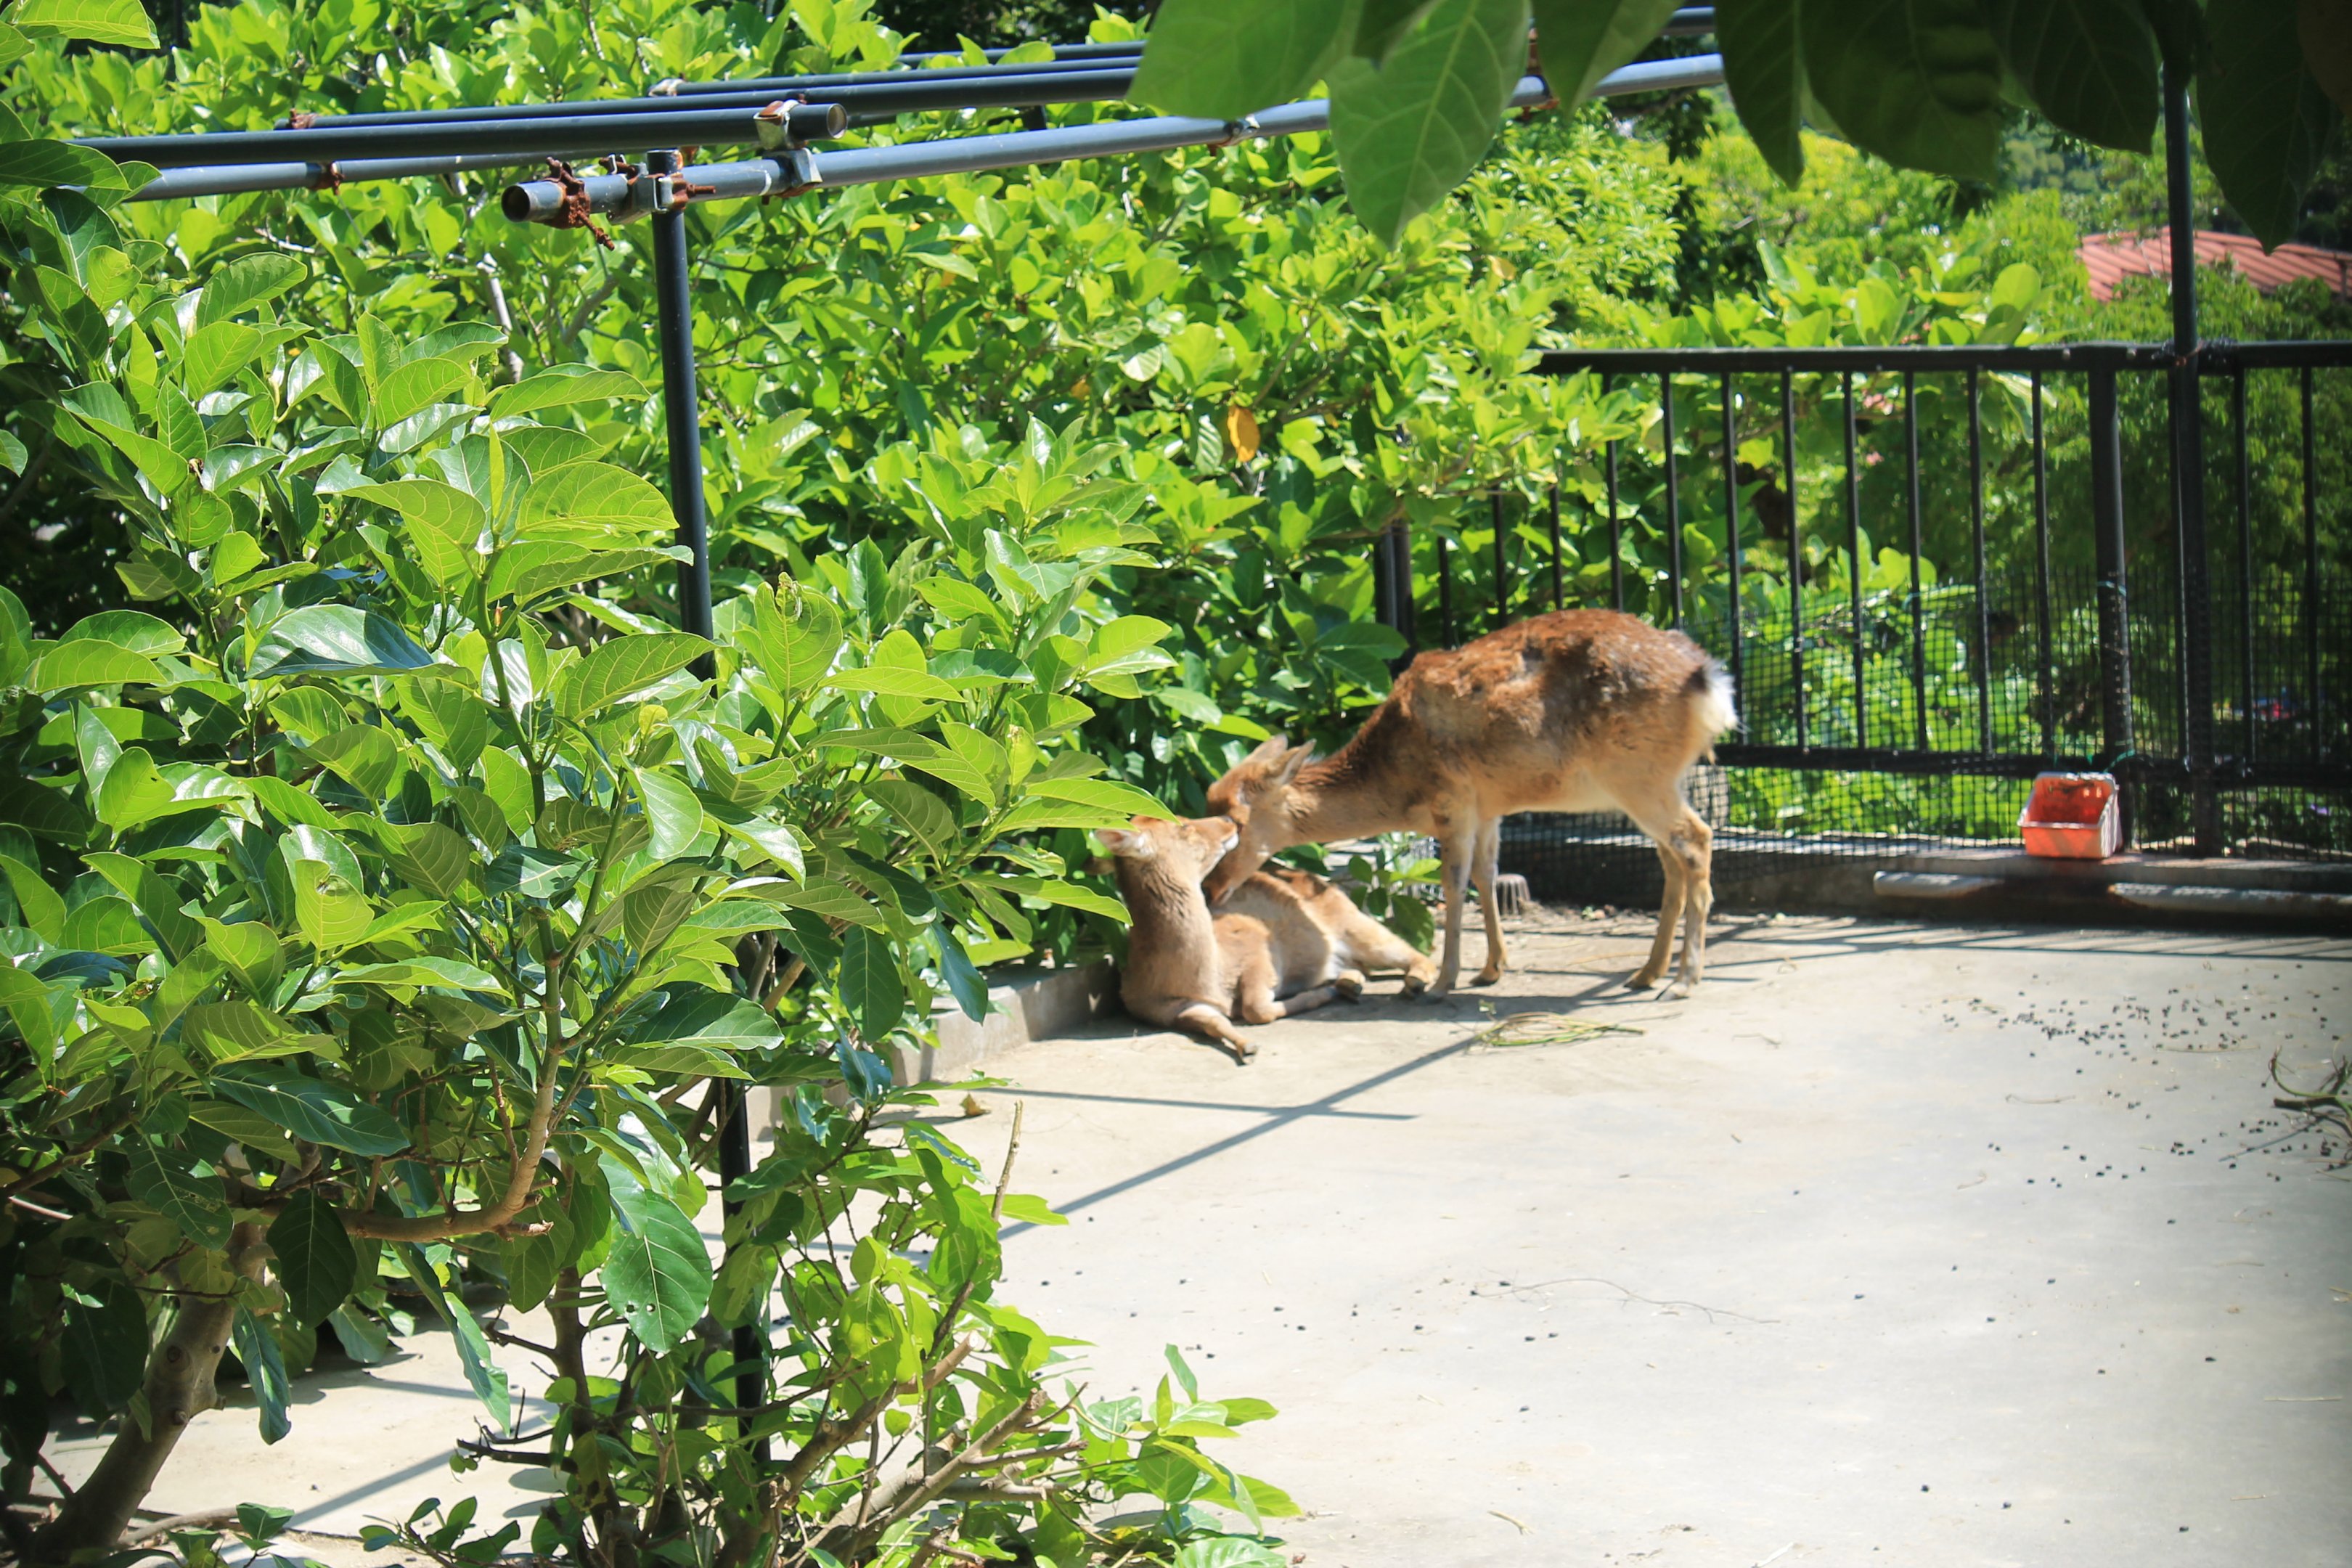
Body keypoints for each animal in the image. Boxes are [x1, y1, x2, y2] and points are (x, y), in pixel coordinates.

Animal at [1098, 814, 1436, 1063]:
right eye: (1183, 826)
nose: (1229, 820)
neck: (1206, 977)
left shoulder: (1256, 942)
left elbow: (1256, 1008)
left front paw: (1318, 996)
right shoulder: (1167, 1010)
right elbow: (1216, 1021)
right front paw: (1247, 1047)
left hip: (1350, 919)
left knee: (1412, 952)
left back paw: (1412, 983)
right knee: (1363, 965)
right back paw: (1349, 983)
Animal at [1203, 608, 1736, 999]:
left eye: (1236, 822)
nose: (1209, 890)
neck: (1397, 783)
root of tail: (1709, 680)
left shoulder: (1452, 798)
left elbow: (1453, 884)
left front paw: (1443, 982)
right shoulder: (1489, 807)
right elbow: (1486, 873)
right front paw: (1491, 969)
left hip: (1637, 774)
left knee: (1696, 839)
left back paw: (1683, 981)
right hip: (1656, 780)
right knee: (1671, 859)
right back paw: (1647, 973)